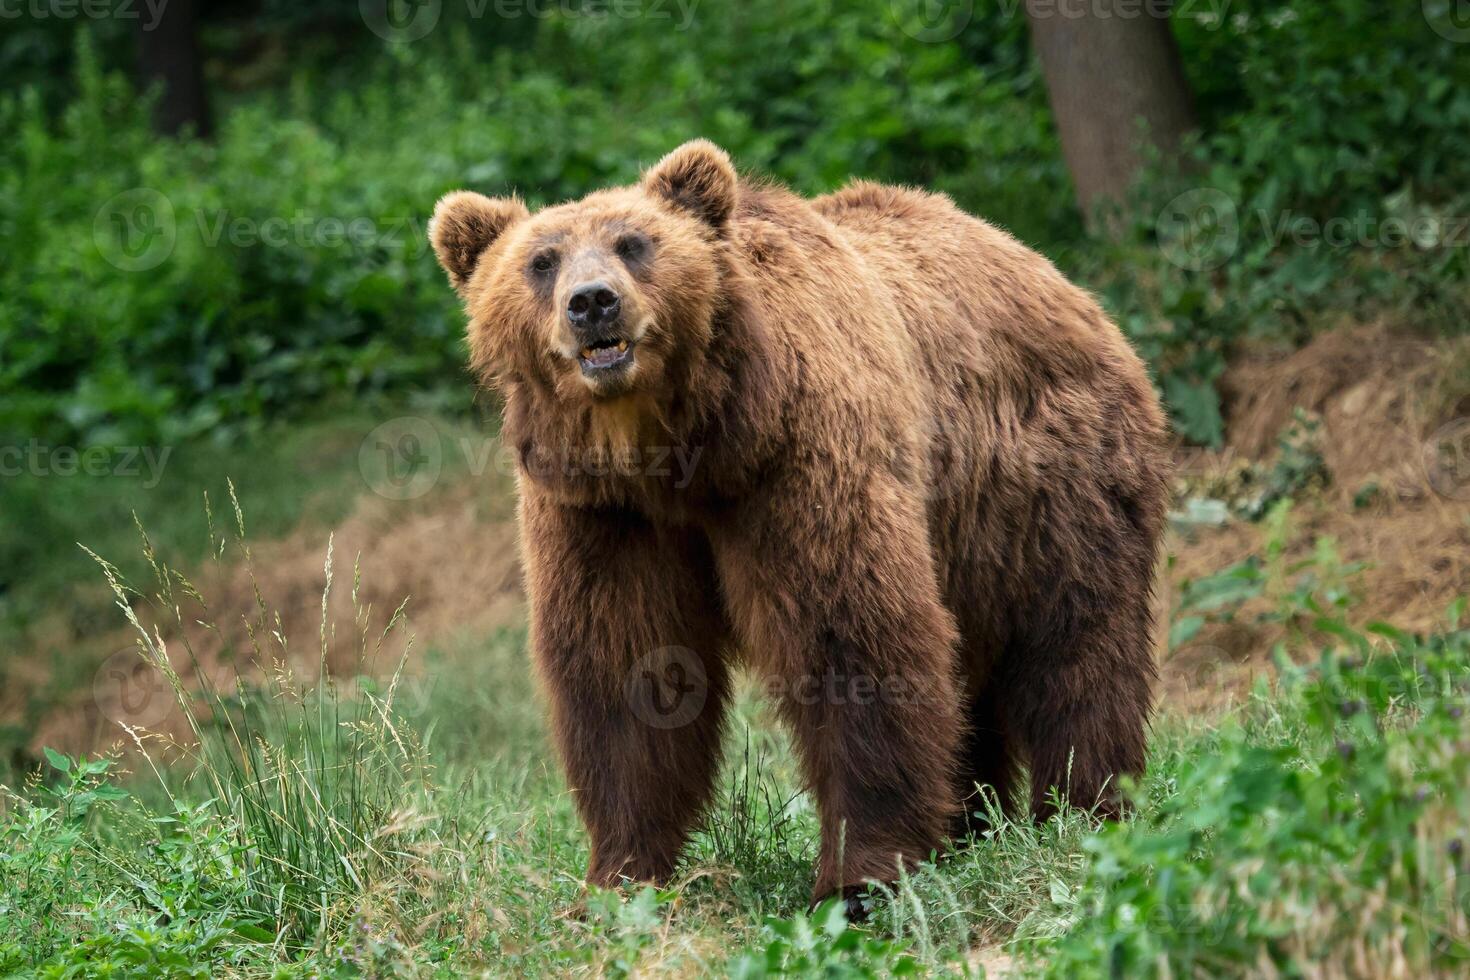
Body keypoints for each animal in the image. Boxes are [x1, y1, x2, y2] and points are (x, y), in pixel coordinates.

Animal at [429, 139, 1170, 910]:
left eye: (634, 243)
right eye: (541, 261)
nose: (592, 302)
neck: (675, 452)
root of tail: (1063, 283)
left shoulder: (795, 460)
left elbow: (848, 638)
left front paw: (859, 879)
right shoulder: (602, 513)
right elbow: (625, 666)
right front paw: (620, 877)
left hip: (1052, 478)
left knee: (1077, 644)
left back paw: (1084, 809)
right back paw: (971, 824)